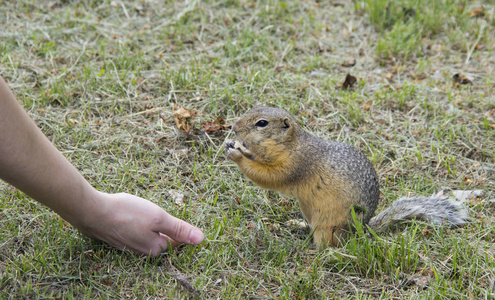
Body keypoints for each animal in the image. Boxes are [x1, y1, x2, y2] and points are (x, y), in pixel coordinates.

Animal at [226, 106, 468, 247]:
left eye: (262, 123)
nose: (234, 127)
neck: (292, 144)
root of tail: (360, 232)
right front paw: (233, 145)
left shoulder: (296, 164)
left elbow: (269, 176)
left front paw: (237, 153)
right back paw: (299, 225)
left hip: (329, 226)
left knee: (328, 247)